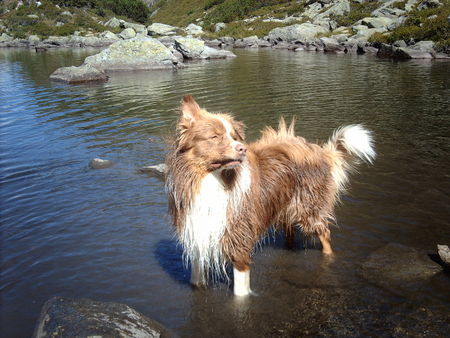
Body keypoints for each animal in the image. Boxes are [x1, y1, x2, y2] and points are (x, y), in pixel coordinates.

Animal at [163, 95, 374, 296]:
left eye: (234, 136)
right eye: (215, 136)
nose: (242, 148)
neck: (212, 181)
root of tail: (319, 150)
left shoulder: (239, 240)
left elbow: (240, 293)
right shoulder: (197, 237)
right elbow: (196, 281)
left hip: (308, 209)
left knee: (325, 234)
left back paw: (329, 257)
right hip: (284, 206)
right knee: (290, 232)